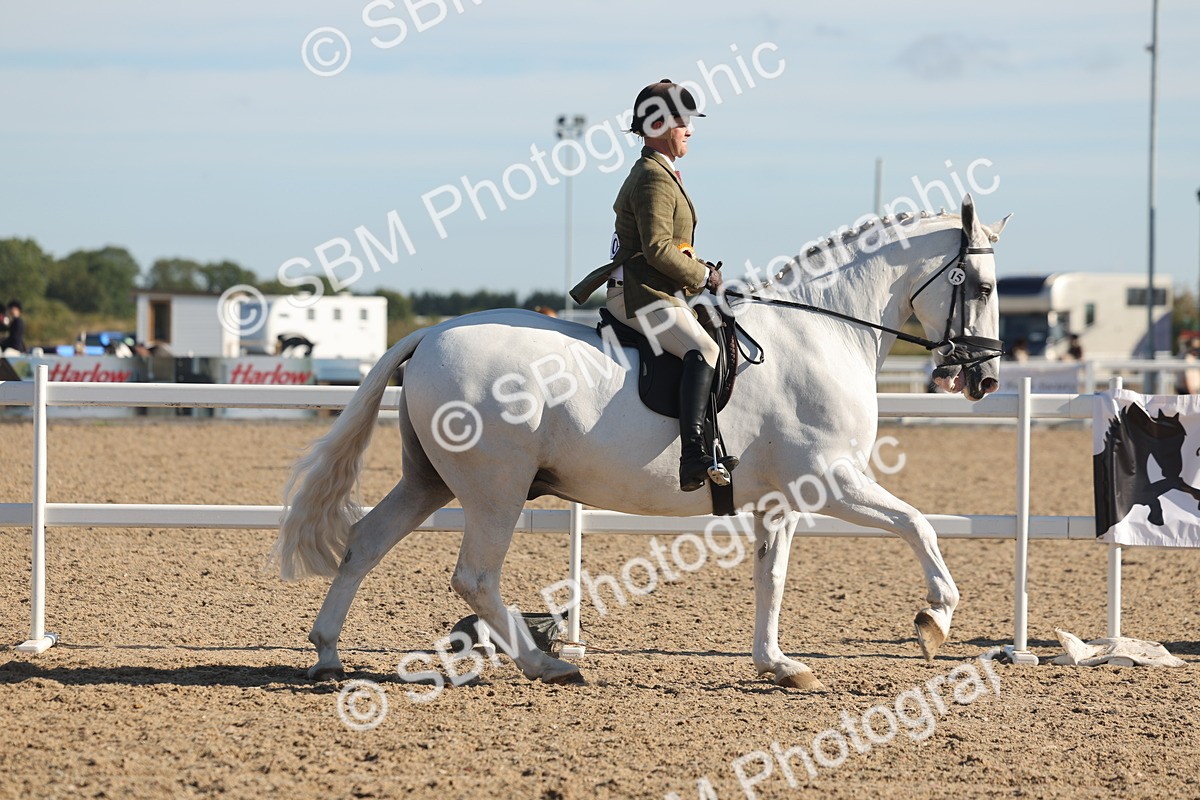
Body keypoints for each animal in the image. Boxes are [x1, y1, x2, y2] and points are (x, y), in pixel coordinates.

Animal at [271, 194, 1011, 689]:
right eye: (978, 285)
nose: (985, 377)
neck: (824, 332)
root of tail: (428, 333)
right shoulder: (833, 480)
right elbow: (918, 525)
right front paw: (935, 620)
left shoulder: (781, 501)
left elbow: (771, 577)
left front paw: (778, 665)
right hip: (495, 489)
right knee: (475, 577)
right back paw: (546, 663)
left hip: (429, 480)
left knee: (366, 542)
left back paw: (328, 652)